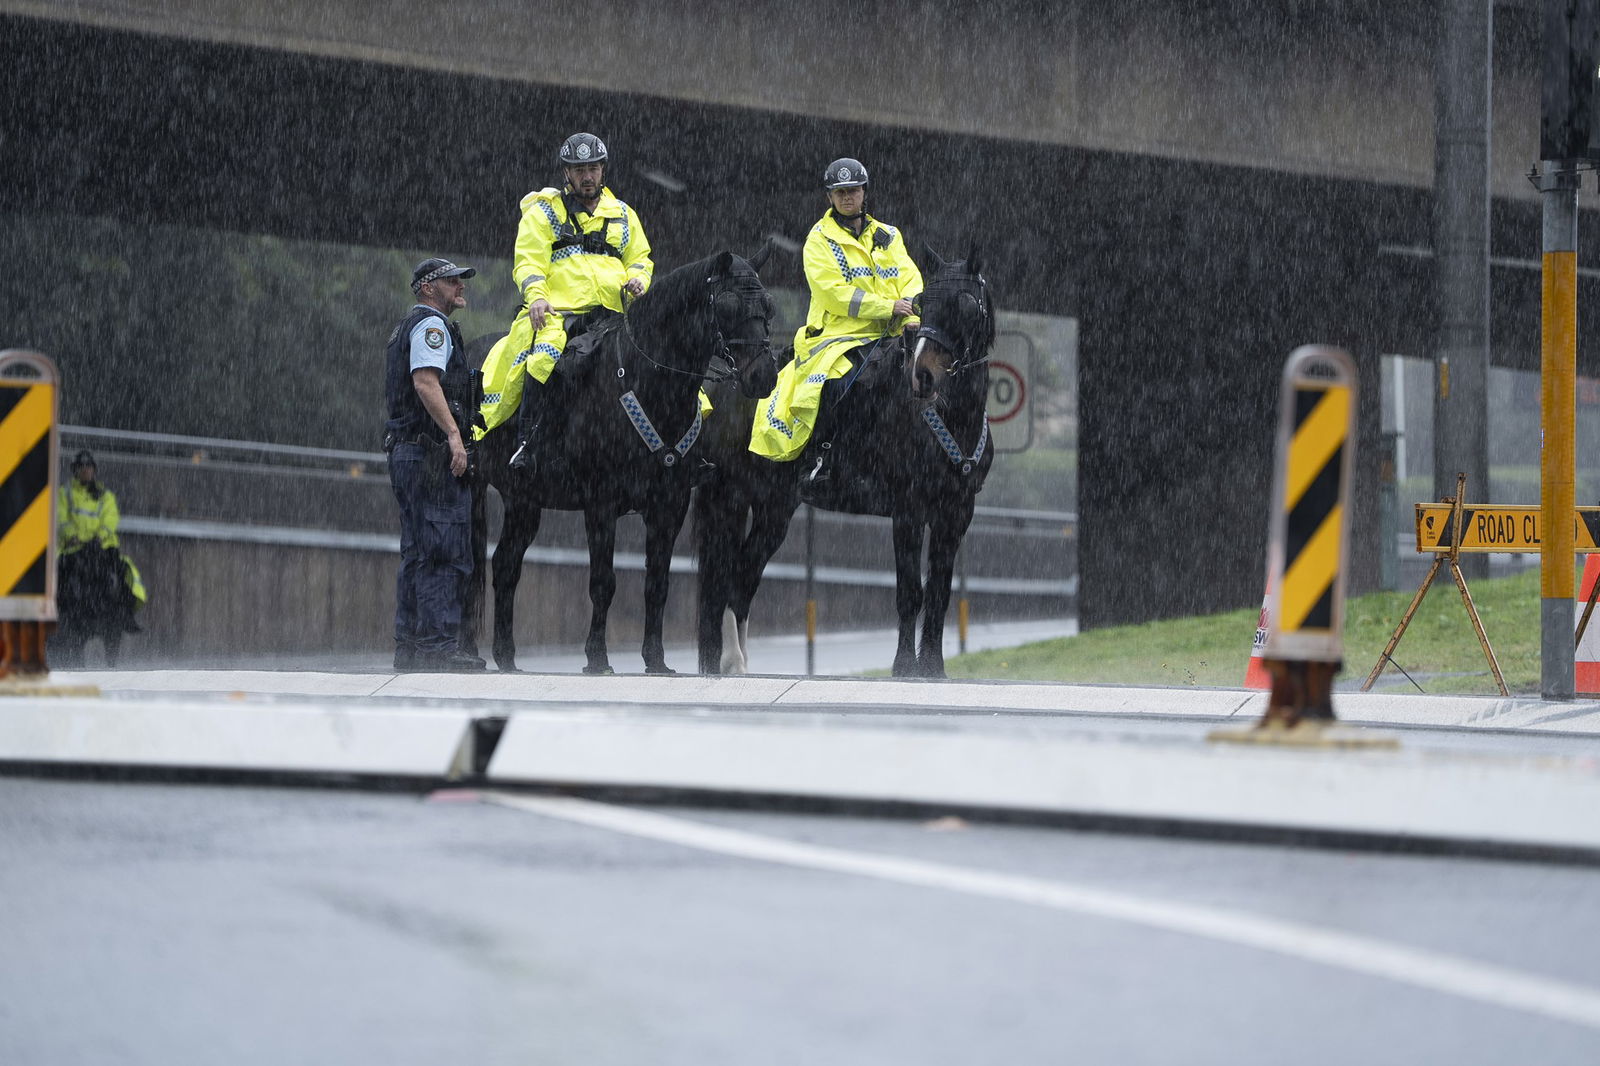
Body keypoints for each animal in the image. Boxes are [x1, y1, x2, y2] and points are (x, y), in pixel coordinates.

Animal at [466, 248, 777, 675]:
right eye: (728, 306)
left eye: (769, 307)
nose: (765, 376)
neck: (646, 383)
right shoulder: (601, 503)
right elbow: (603, 582)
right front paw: (597, 658)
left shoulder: (670, 505)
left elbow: (657, 583)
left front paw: (656, 660)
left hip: (523, 502)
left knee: (505, 565)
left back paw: (506, 656)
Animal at [695, 251, 995, 678]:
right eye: (923, 304)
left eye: (967, 305)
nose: (922, 375)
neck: (948, 417)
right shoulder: (908, 509)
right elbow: (910, 591)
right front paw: (904, 666)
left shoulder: (955, 513)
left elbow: (939, 591)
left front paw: (933, 668)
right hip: (730, 498)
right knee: (718, 579)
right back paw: (719, 661)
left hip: (775, 508)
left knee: (743, 577)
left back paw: (736, 663)